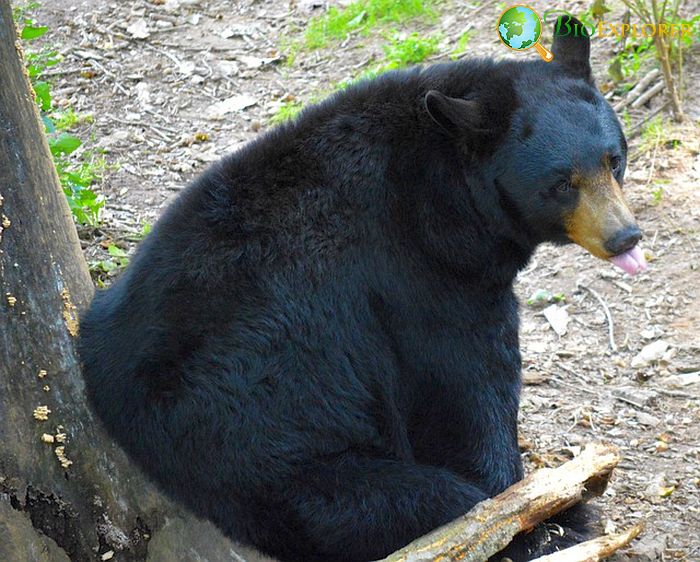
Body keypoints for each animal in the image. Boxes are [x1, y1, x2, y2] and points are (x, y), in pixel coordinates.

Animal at [78, 17, 644, 560]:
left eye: (613, 159)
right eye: (561, 184)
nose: (625, 236)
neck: (444, 194)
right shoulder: (419, 278)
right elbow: (467, 384)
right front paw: (535, 508)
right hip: (259, 445)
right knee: (389, 499)